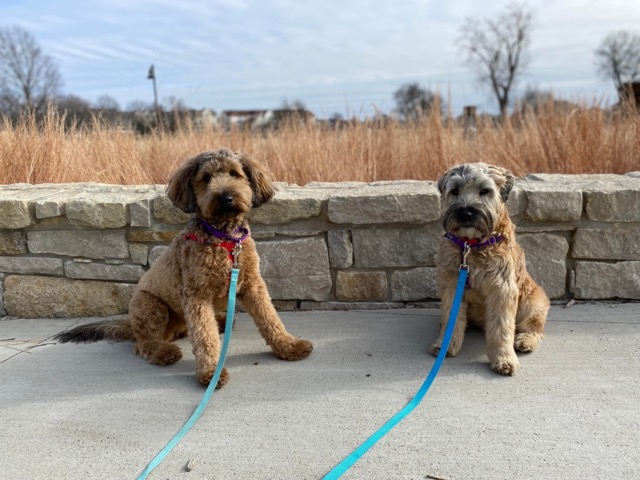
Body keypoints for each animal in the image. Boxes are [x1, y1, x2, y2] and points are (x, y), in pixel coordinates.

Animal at [55, 148, 312, 388]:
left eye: (234, 173)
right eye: (206, 178)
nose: (226, 197)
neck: (223, 237)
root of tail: (131, 325)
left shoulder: (252, 285)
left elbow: (270, 318)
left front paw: (289, 345)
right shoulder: (197, 295)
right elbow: (204, 336)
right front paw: (211, 373)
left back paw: (220, 322)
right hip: (151, 305)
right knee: (143, 344)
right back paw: (163, 351)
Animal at [432, 163, 548, 376]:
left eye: (484, 190)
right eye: (455, 191)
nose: (466, 213)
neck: (472, 245)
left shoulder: (502, 289)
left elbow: (502, 329)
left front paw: (504, 359)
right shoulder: (451, 284)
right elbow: (451, 318)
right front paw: (445, 345)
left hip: (533, 302)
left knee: (534, 328)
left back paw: (525, 340)